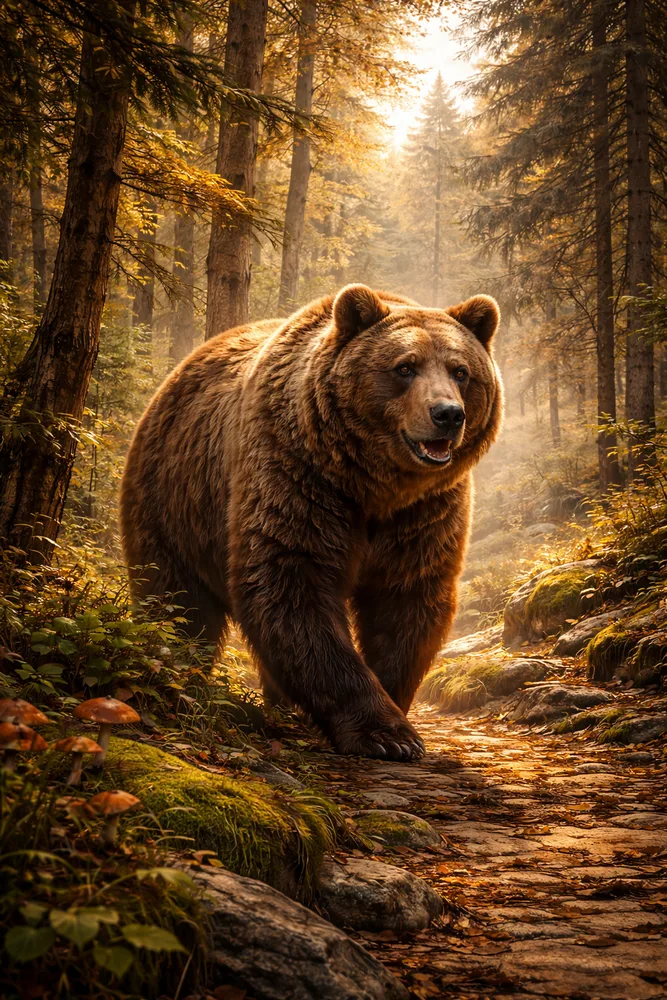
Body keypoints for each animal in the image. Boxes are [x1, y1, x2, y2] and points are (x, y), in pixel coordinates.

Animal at [120, 285, 503, 760]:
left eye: (461, 371)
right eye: (405, 366)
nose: (447, 414)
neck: (374, 485)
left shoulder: (425, 513)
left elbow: (406, 601)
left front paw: (394, 705)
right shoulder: (299, 477)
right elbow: (293, 583)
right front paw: (385, 733)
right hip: (173, 501)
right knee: (177, 604)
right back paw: (178, 680)